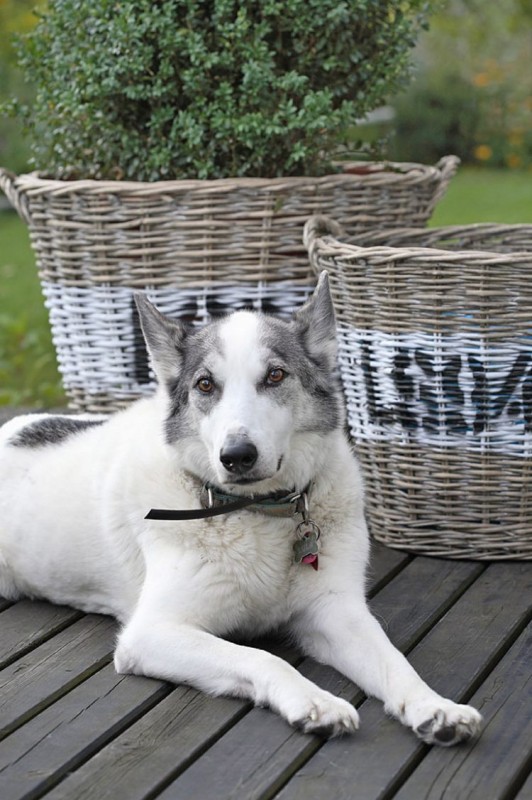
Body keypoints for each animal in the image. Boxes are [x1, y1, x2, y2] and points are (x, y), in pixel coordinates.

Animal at [0, 274, 482, 744]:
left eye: (275, 375)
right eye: (205, 384)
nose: (237, 456)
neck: (256, 512)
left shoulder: (336, 612)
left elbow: (394, 661)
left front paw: (433, 706)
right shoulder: (151, 634)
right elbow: (263, 658)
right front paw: (315, 702)